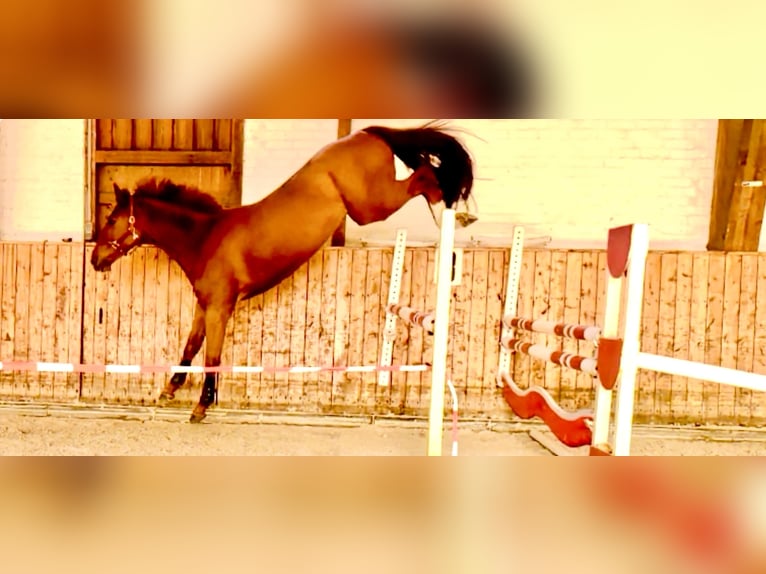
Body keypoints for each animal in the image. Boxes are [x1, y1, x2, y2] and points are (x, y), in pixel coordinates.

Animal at [90, 123, 477, 423]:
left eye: (111, 219)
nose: (95, 260)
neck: (206, 237)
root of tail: (364, 133)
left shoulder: (219, 310)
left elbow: (212, 357)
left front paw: (201, 407)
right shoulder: (204, 306)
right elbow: (191, 346)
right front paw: (170, 389)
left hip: (370, 206)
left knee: (423, 174)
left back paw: (456, 210)